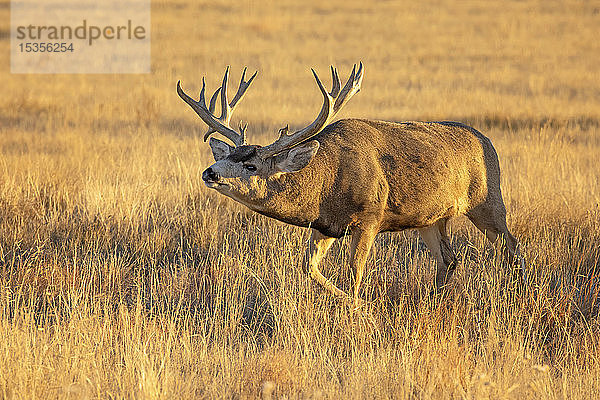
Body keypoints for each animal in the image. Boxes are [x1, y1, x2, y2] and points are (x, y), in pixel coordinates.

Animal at [176, 64, 524, 304]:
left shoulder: (370, 216)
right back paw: (433, 302)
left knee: (512, 247)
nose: (210, 172)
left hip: (487, 201)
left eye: (251, 165)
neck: (326, 183)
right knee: (449, 260)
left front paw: (358, 309)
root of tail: (487, 141)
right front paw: (349, 302)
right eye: (228, 155)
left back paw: (517, 294)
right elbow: (309, 268)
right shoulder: (326, 226)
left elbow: (354, 273)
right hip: (430, 218)